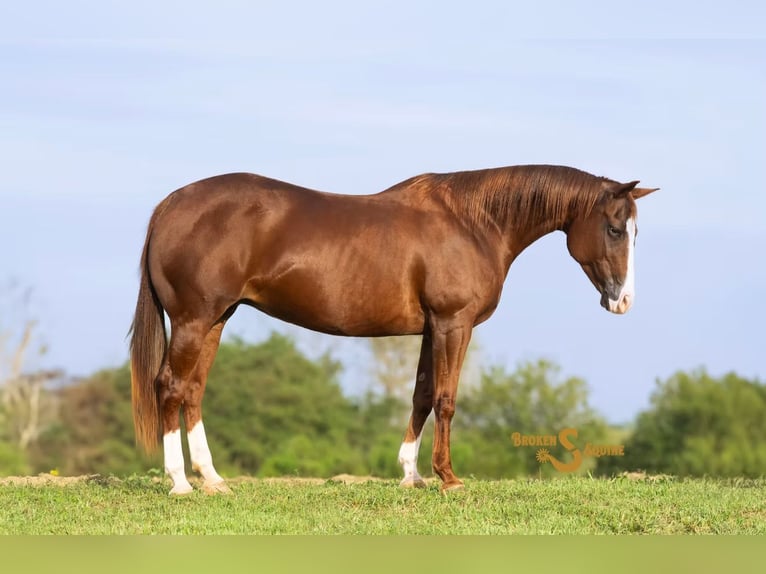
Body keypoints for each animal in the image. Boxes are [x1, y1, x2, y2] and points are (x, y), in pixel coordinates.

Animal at [129, 164, 658, 494]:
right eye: (614, 228)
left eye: (635, 232)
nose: (623, 301)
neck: (474, 224)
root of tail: (170, 205)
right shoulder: (453, 324)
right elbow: (446, 398)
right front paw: (448, 478)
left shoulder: (430, 329)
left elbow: (421, 394)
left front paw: (411, 474)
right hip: (194, 320)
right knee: (170, 387)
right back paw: (180, 483)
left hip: (217, 320)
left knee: (194, 391)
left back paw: (213, 479)